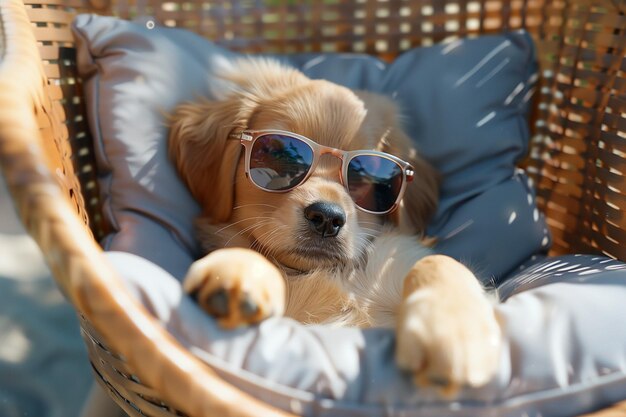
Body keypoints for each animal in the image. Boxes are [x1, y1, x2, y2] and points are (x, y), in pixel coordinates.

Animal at [168, 58, 500, 390]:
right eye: (274, 154)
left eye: (369, 175)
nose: (327, 217)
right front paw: (237, 275)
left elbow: (438, 261)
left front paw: (453, 330)